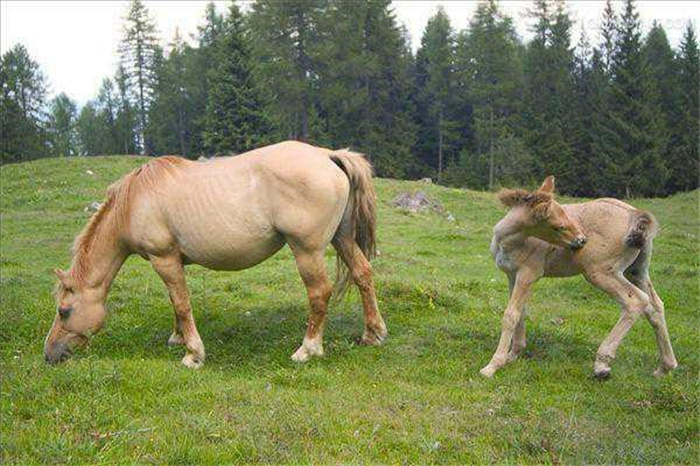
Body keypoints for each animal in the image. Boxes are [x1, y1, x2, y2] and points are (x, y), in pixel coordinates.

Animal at [42, 140, 388, 366]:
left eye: (64, 311)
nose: (49, 354)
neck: (134, 202)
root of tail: (328, 156)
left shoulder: (164, 259)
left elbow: (182, 305)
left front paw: (193, 353)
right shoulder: (173, 262)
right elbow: (175, 303)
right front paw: (178, 338)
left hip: (308, 250)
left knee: (319, 293)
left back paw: (308, 348)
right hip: (342, 239)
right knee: (363, 274)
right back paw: (373, 334)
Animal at [482, 175, 680, 378]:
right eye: (558, 226)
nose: (581, 240)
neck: (509, 240)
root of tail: (633, 213)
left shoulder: (529, 274)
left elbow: (511, 315)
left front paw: (493, 365)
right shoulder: (512, 275)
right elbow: (520, 312)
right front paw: (513, 354)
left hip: (600, 273)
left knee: (636, 301)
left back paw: (602, 364)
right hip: (636, 272)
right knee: (655, 306)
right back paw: (665, 367)